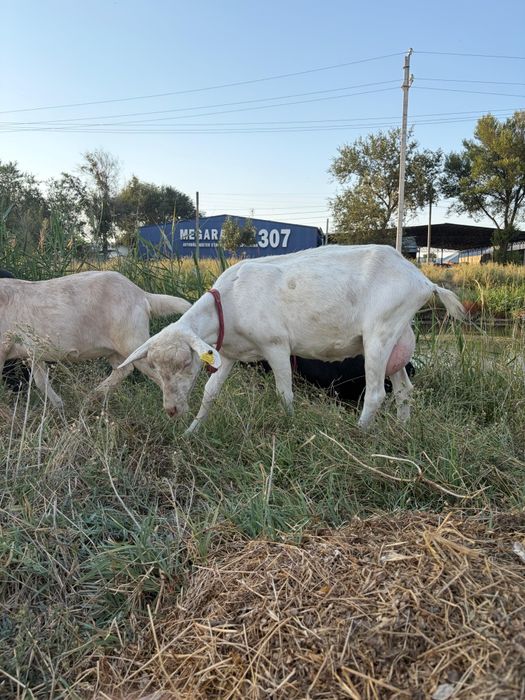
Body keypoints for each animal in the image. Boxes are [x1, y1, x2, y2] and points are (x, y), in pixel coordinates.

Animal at [0, 270, 191, 408]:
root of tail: (141, 294)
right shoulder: (32, 352)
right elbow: (41, 381)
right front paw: (59, 406)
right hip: (116, 348)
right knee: (123, 370)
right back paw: (90, 398)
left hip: (132, 341)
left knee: (158, 375)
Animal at [119, 245, 465, 431]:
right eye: (156, 368)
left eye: (185, 363)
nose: (171, 410)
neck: (229, 302)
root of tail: (423, 280)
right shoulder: (229, 353)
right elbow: (210, 392)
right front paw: (192, 431)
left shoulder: (275, 345)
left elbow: (284, 393)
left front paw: (289, 425)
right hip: (398, 334)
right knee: (404, 390)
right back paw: (402, 429)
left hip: (380, 332)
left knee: (377, 393)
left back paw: (359, 433)